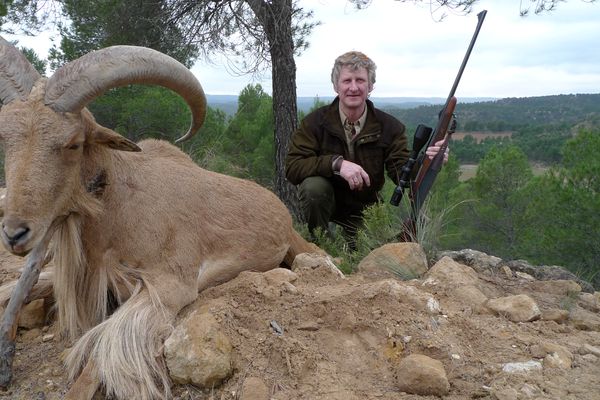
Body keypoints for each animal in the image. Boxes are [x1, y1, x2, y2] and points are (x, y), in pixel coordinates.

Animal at [0, 36, 316, 398]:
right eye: (4, 139)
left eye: (74, 143)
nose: (14, 233)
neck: (119, 211)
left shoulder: (169, 285)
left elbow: (98, 359)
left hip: (295, 244)